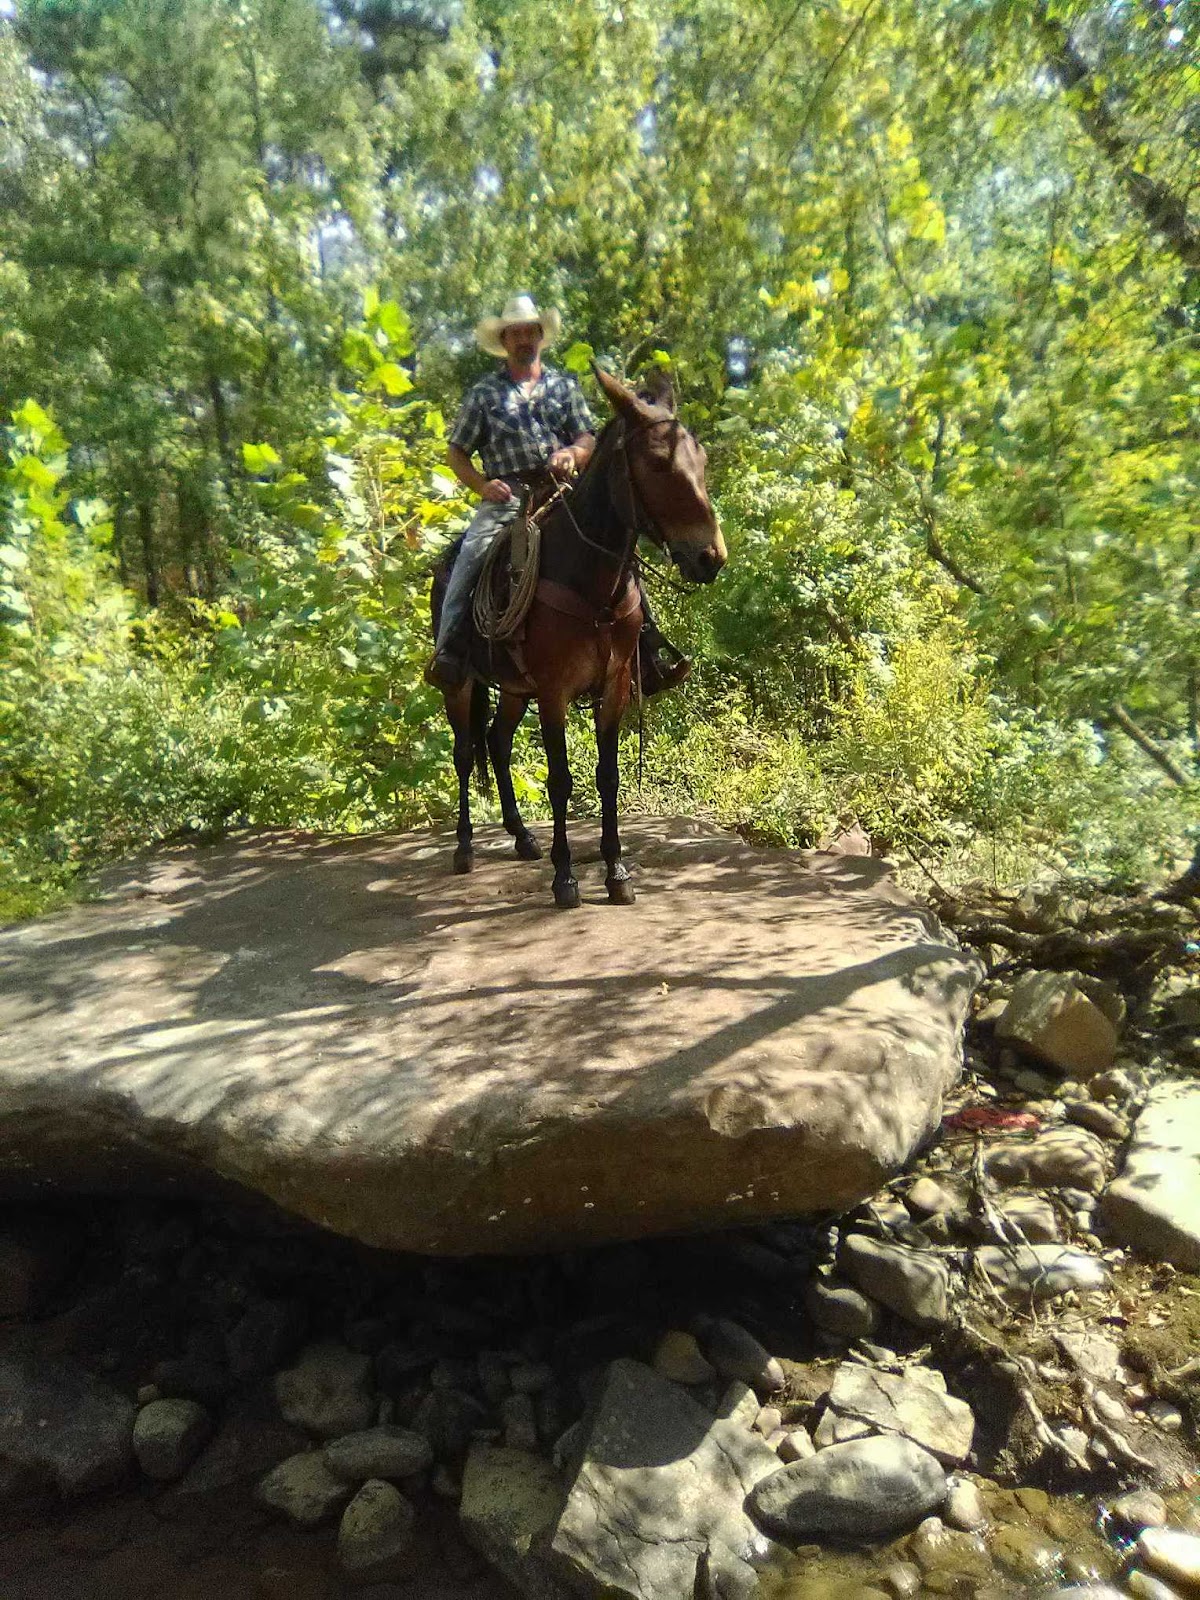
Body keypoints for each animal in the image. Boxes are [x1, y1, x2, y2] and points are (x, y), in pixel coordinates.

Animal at [431, 365, 726, 910]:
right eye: (657, 464)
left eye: (702, 460)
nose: (710, 557)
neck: (592, 585)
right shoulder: (554, 691)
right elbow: (561, 780)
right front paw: (565, 877)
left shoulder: (614, 685)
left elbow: (607, 778)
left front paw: (616, 872)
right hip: (461, 685)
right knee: (464, 754)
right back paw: (464, 848)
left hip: (514, 688)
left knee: (497, 742)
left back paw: (522, 836)